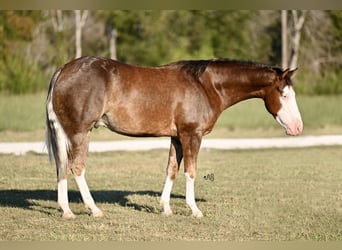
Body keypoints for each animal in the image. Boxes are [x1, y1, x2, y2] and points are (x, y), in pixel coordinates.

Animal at [44, 55, 302, 218]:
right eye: (284, 94)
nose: (297, 128)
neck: (206, 85)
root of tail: (63, 70)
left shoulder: (177, 138)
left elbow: (172, 170)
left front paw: (165, 208)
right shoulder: (192, 135)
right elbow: (191, 171)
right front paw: (194, 210)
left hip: (67, 133)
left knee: (62, 167)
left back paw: (66, 211)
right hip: (80, 132)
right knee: (77, 167)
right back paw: (93, 209)